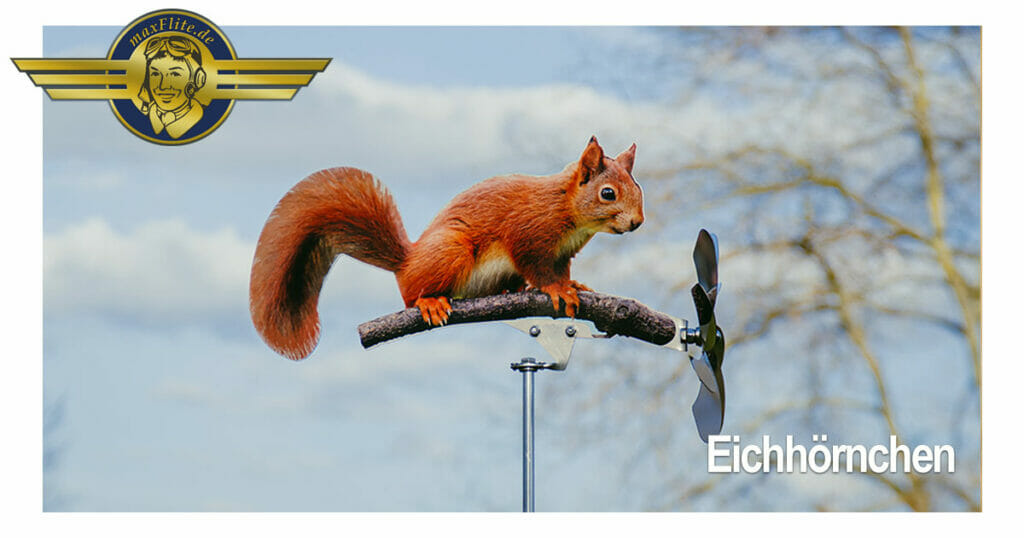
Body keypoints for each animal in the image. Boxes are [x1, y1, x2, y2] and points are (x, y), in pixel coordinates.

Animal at [249, 136, 644, 359]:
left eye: (638, 188)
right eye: (608, 193)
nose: (638, 222)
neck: (566, 207)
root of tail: (406, 262)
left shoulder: (563, 253)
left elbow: (561, 270)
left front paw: (573, 284)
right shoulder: (528, 234)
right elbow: (538, 268)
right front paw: (558, 290)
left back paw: (508, 291)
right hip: (450, 252)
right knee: (411, 295)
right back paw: (430, 301)